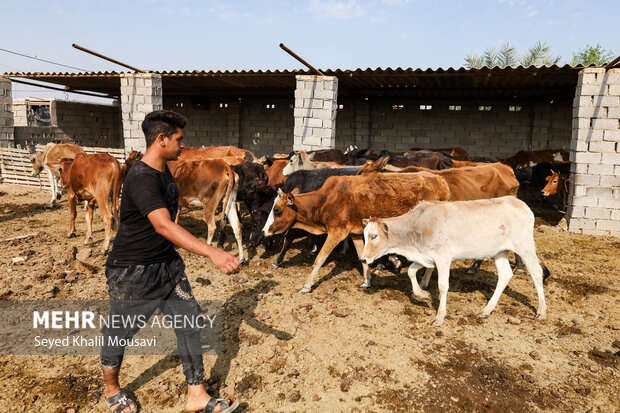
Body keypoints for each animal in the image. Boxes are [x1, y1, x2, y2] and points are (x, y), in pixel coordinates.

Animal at [262, 172, 450, 292]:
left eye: (277, 210)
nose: (264, 231)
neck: (325, 199)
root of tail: (441, 181)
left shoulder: (336, 233)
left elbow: (319, 259)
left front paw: (307, 285)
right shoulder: (355, 233)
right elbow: (362, 257)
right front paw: (367, 281)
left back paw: (423, 282)